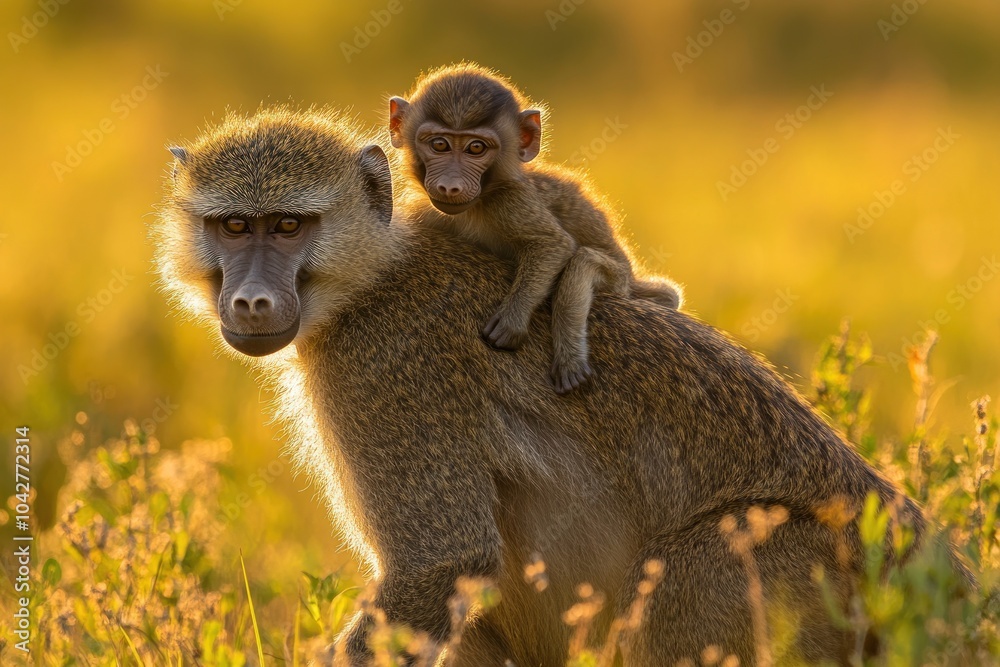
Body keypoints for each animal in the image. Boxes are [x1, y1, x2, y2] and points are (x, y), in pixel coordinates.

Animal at [155, 108, 971, 666]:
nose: (251, 301)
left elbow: (441, 563)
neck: (370, 281)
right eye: (234, 227)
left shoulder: (384, 374)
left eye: (289, 227)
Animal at [387, 64, 683, 394]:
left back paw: (570, 358)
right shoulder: (424, 211)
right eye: (439, 144)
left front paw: (512, 319)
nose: (450, 185)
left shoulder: (511, 200)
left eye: (476, 148)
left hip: (619, 281)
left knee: (584, 262)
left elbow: (553, 245)